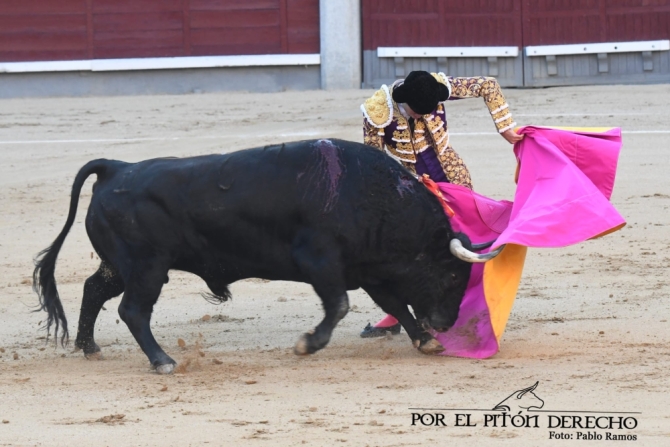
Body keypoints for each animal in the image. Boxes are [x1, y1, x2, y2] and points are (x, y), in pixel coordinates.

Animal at [34, 139, 488, 374]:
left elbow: (394, 304)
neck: (372, 196)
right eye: (452, 276)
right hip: (147, 268)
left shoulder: (370, 269)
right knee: (132, 310)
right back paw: (163, 361)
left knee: (94, 289)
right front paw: (308, 344)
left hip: (122, 266)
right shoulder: (321, 262)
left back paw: (89, 347)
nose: (445, 323)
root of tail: (116, 167)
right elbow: (340, 305)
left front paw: (426, 341)